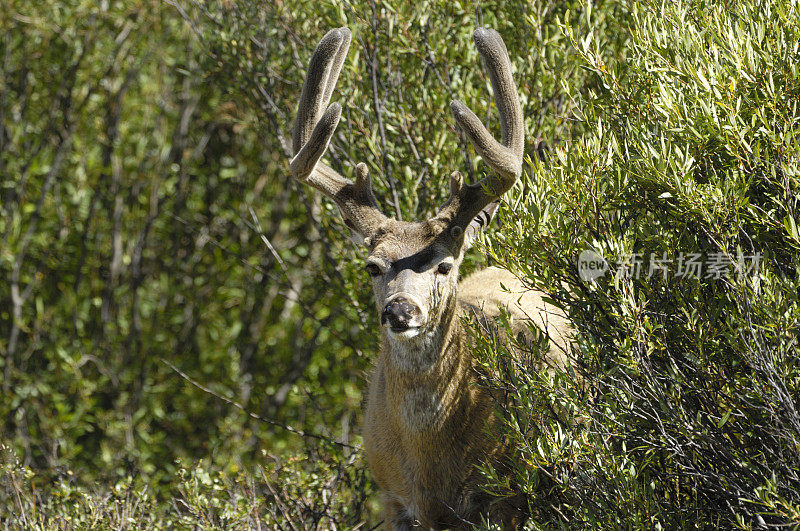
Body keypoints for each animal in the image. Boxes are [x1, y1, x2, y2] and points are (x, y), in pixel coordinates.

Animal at [290, 28, 572, 528]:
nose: (400, 310)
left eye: (444, 265)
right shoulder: (391, 496)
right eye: (373, 265)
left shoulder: (506, 494)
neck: (430, 460)